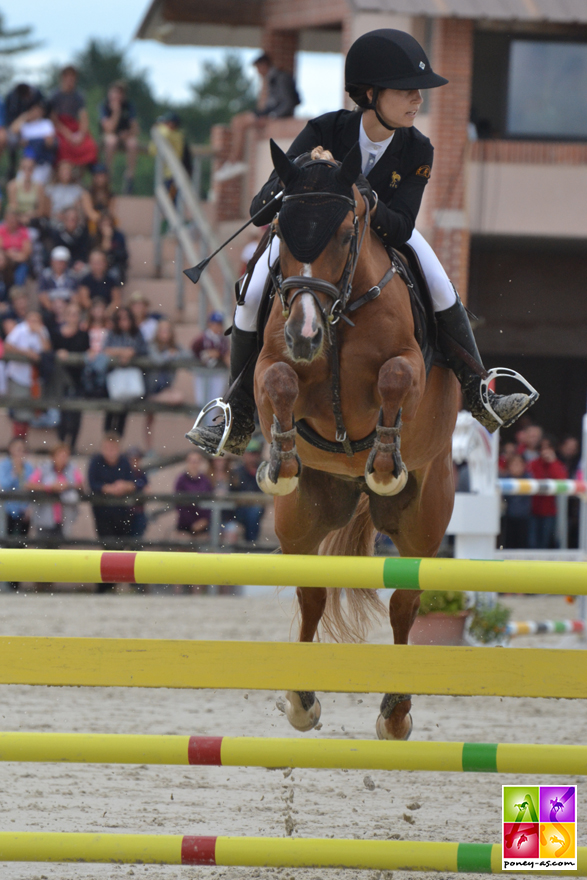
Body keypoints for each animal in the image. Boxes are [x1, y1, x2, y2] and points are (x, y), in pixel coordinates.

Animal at [255, 141, 458, 740]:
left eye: (347, 234)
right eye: (279, 228)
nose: (304, 334)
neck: (338, 314)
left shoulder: (408, 367)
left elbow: (394, 377)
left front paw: (385, 461)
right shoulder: (271, 365)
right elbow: (279, 381)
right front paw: (280, 459)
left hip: (423, 520)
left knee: (406, 603)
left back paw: (396, 712)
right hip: (301, 518)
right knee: (312, 593)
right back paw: (301, 701)